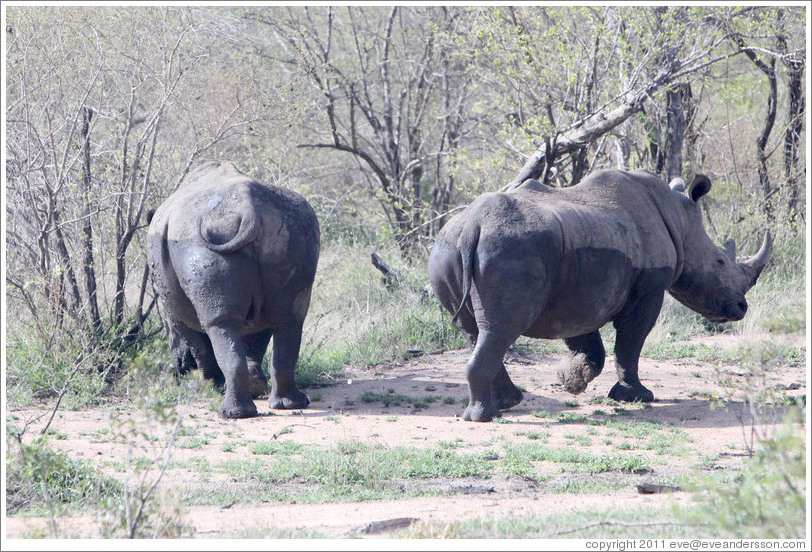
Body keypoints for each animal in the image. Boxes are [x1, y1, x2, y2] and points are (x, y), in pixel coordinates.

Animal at [147, 162, 320, 418]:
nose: (177, 368)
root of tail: (249, 209)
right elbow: (256, 337)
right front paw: (253, 381)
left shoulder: (172, 308)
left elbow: (197, 342)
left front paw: (209, 385)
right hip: (295, 230)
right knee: (289, 319)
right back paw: (289, 403)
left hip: (195, 242)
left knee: (218, 324)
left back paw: (232, 413)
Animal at [428, 169, 771, 422]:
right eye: (720, 261)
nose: (741, 307)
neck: (680, 220)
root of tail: (472, 226)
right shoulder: (649, 286)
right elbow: (631, 341)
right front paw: (637, 396)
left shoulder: (577, 290)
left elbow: (587, 339)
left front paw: (572, 379)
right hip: (510, 249)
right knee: (500, 330)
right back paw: (485, 416)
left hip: (446, 248)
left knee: (476, 331)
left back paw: (507, 403)